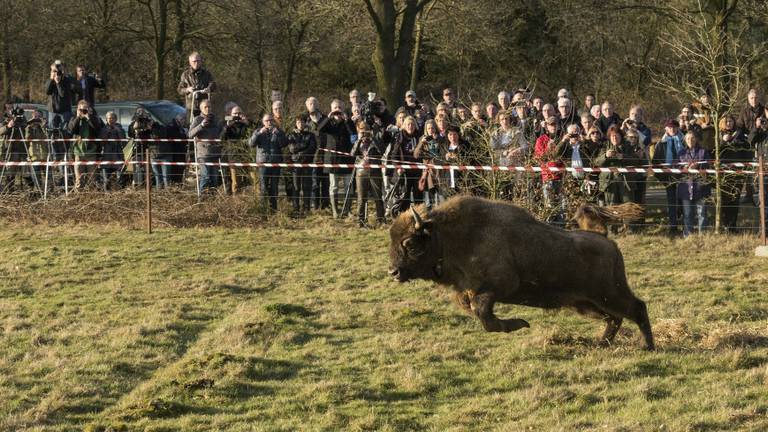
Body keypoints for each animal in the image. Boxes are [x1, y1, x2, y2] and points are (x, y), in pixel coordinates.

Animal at [390, 196, 656, 352]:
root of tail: (603, 237)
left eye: (410, 243)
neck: (448, 237)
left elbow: (483, 314)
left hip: (610, 294)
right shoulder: (467, 292)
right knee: (614, 318)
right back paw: (601, 343)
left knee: (637, 308)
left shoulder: (499, 287)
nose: (393, 271)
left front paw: (519, 324)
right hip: (585, 303)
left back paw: (648, 346)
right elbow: (476, 311)